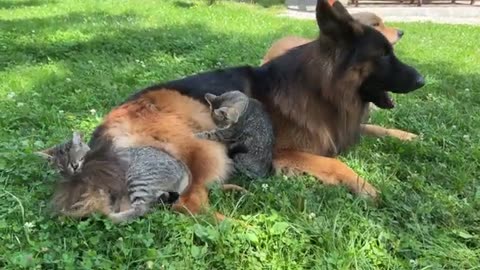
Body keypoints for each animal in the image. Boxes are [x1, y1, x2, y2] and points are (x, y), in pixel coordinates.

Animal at [49, 0, 424, 219]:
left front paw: (410, 136)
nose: (422, 79)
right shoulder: (286, 152)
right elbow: (335, 163)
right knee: (189, 204)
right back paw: (234, 226)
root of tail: (98, 142)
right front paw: (367, 187)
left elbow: (375, 129)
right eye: (385, 54)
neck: (321, 88)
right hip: (205, 145)